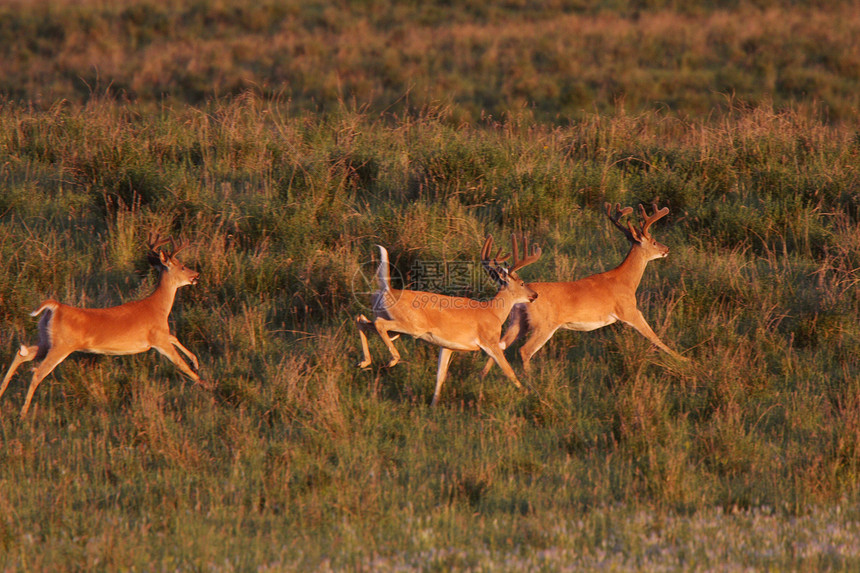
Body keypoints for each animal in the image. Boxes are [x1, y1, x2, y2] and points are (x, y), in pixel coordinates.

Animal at [1, 231, 210, 416]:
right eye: (181, 266)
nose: (197, 275)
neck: (157, 307)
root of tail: (55, 307)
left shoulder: (161, 334)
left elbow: (175, 338)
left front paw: (196, 362)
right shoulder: (158, 339)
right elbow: (180, 363)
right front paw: (205, 384)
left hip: (46, 341)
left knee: (22, 354)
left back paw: (3, 392)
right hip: (61, 346)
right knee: (37, 372)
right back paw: (22, 414)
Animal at [358, 233, 544, 406]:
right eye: (522, 283)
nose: (535, 295)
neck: (493, 312)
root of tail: (387, 290)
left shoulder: (446, 346)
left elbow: (440, 377)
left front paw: (433, 407)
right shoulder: (489, 341)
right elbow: (509, 371)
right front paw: (527, 393)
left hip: (395, 325)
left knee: (362, 320)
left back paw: (364, 362)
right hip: (411, 325)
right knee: (377, 323)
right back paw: (392, 360)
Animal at [480, 201, 688, 376]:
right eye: (653, 241)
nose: (666, 249)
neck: (626, 281)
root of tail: (523, 299)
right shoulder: (628, 310)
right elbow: (653, 335)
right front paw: (683, 358)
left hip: (519, 322)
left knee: (500, 345)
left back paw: (484, 376)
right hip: (545, 324)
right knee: (525, 350)